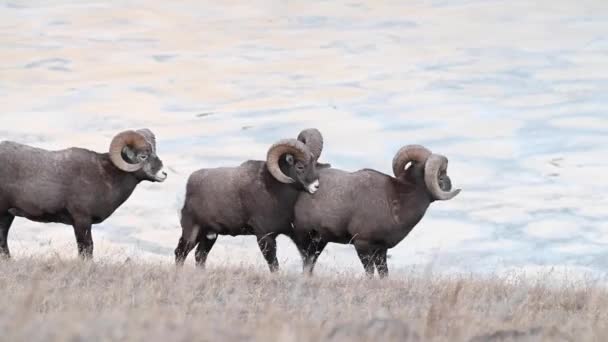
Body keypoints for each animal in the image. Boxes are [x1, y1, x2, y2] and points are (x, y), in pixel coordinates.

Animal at [0, 130, 166, 260]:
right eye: (143, 156)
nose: (163, 174)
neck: (106, 176)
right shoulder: (81, 220)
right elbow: (86, 248)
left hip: (8, 215)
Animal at [176, 129, 328, 272]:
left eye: (314, 164)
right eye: (300, 166)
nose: (316, 186)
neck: (275, 192)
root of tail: (190, 184)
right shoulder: (264, 237)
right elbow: (274, 266)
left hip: (209, 235)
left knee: (200, 255)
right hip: (192, 232)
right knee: (180, 253)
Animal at [292, 145, 458, 278]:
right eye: (441, 172)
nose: (449, 183)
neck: (397, 200)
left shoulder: (381, 250)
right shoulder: (362, 245)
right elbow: (370, 274)